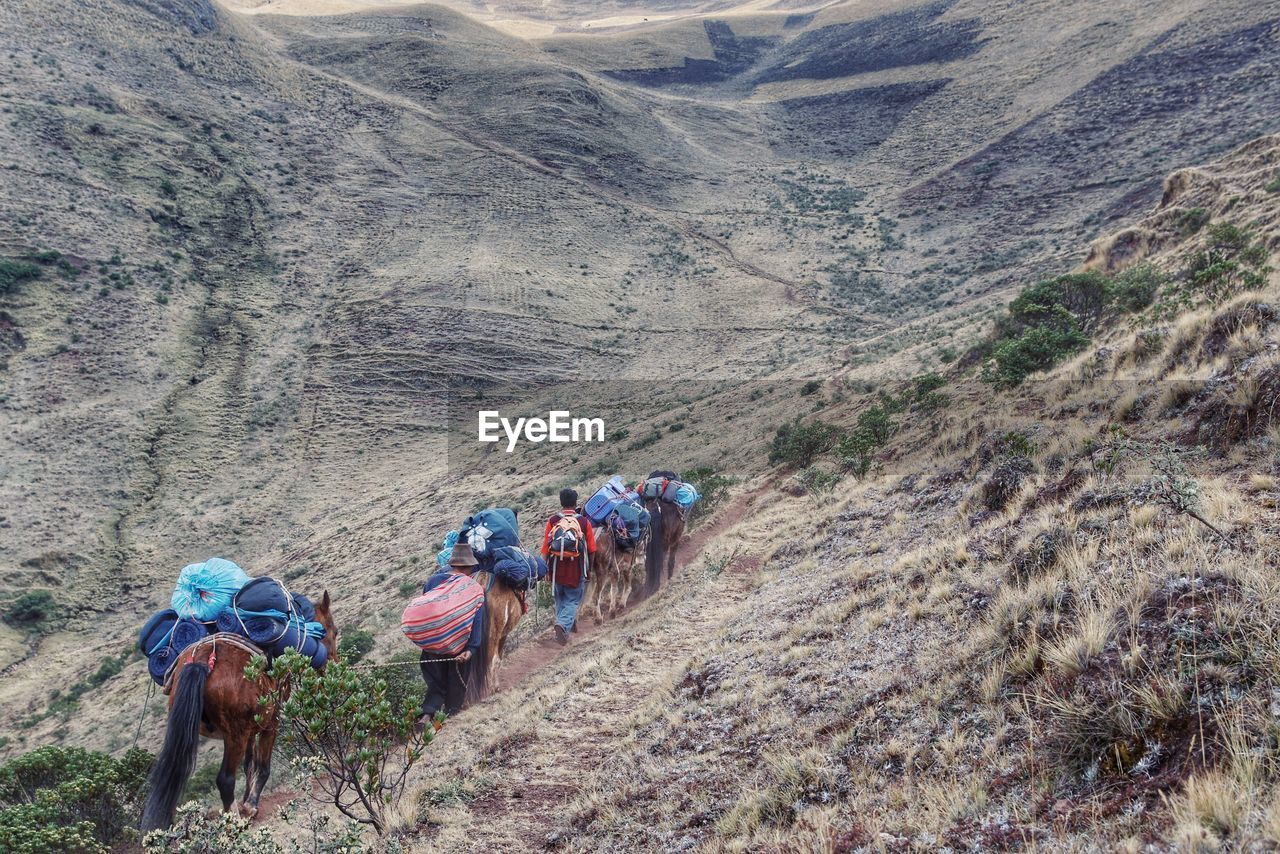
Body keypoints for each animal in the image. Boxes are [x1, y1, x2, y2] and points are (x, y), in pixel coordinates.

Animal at [140, 591, 340, 829]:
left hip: (190, 732)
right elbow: (262, 766)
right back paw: (234, 820)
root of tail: (203, 659)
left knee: (174, 778)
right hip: (234, 735)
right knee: (225, 779)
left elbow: (249, 764)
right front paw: (250, 806)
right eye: (334, 631)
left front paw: (247, 801)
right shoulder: (271, 722)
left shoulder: (251, 729)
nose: (334, 665)